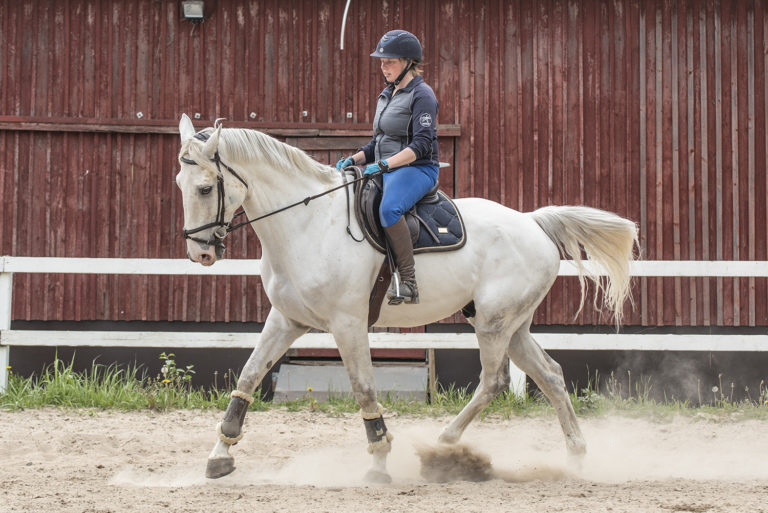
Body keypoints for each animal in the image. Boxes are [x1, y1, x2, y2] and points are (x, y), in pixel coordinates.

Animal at [177, 114, 640, 482]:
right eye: (180, 183)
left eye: (205, 189)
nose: (200, 254)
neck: (308, 224)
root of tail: (532, 222)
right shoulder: (286, 320)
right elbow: (248, 377)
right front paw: (219, 455)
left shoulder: (347, 325)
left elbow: (364, 389)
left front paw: (379, 462)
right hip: (513, 325)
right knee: (551, 374)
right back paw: (575, 456)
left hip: (493, 324)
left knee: (494, 381)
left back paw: (442, 444)